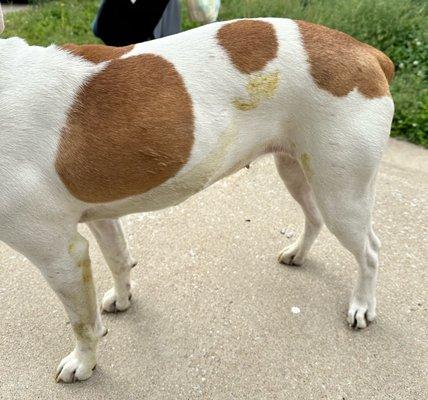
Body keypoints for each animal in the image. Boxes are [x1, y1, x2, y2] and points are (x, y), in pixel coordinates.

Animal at [0, 4, 394, 382]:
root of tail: (366, 51)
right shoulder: (101, 216)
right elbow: (118, 259)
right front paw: (124, 298)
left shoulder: (59, 255)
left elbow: (83, 323)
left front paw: (83, 363)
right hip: (299, 172)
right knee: (313, 218)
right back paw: (298, 253)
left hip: (342, 196)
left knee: (370, 251)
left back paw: (363, 305)